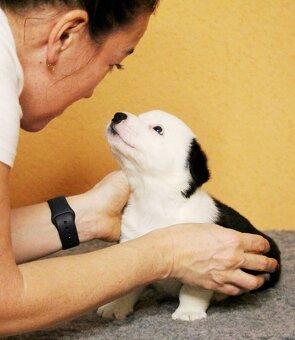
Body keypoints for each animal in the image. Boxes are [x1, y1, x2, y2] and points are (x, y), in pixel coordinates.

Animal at [97, 109, 282, 322]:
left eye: (158, 129)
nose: (118, 115)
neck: (154, 197)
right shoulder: (133, 245)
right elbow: (129, 285)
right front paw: (116, 306)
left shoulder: (204, 258)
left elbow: (192, 289)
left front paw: (189, 311)